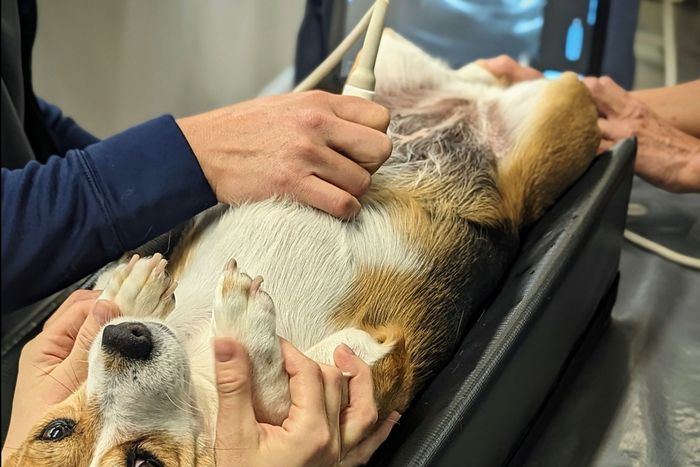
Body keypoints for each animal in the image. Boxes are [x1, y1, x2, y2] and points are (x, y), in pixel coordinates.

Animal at [6, 31, 596, 466]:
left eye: (56, 428)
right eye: (143, 463)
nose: (126, 339)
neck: (199, 371)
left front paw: (130, 291)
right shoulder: (365, 388)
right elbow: (285, 391)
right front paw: (242, 326)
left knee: (476, 74)